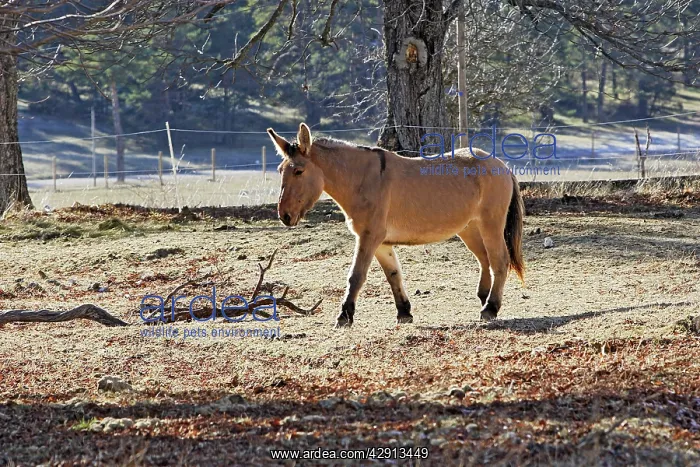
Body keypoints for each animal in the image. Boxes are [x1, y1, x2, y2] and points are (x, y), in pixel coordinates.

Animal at [267, 123, 525, 328]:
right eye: (280, 170)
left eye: (299, 171)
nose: (284, 216)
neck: (362, 179)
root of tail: (501, 165)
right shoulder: (381, 243)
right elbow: (393, 275)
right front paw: (404, 312)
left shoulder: (369, 237)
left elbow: (356, 276)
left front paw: (344, 316)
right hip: (469, 230)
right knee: (485, 260)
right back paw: (485, 299)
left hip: (490, 226)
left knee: (499, 261)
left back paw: (490, 307)